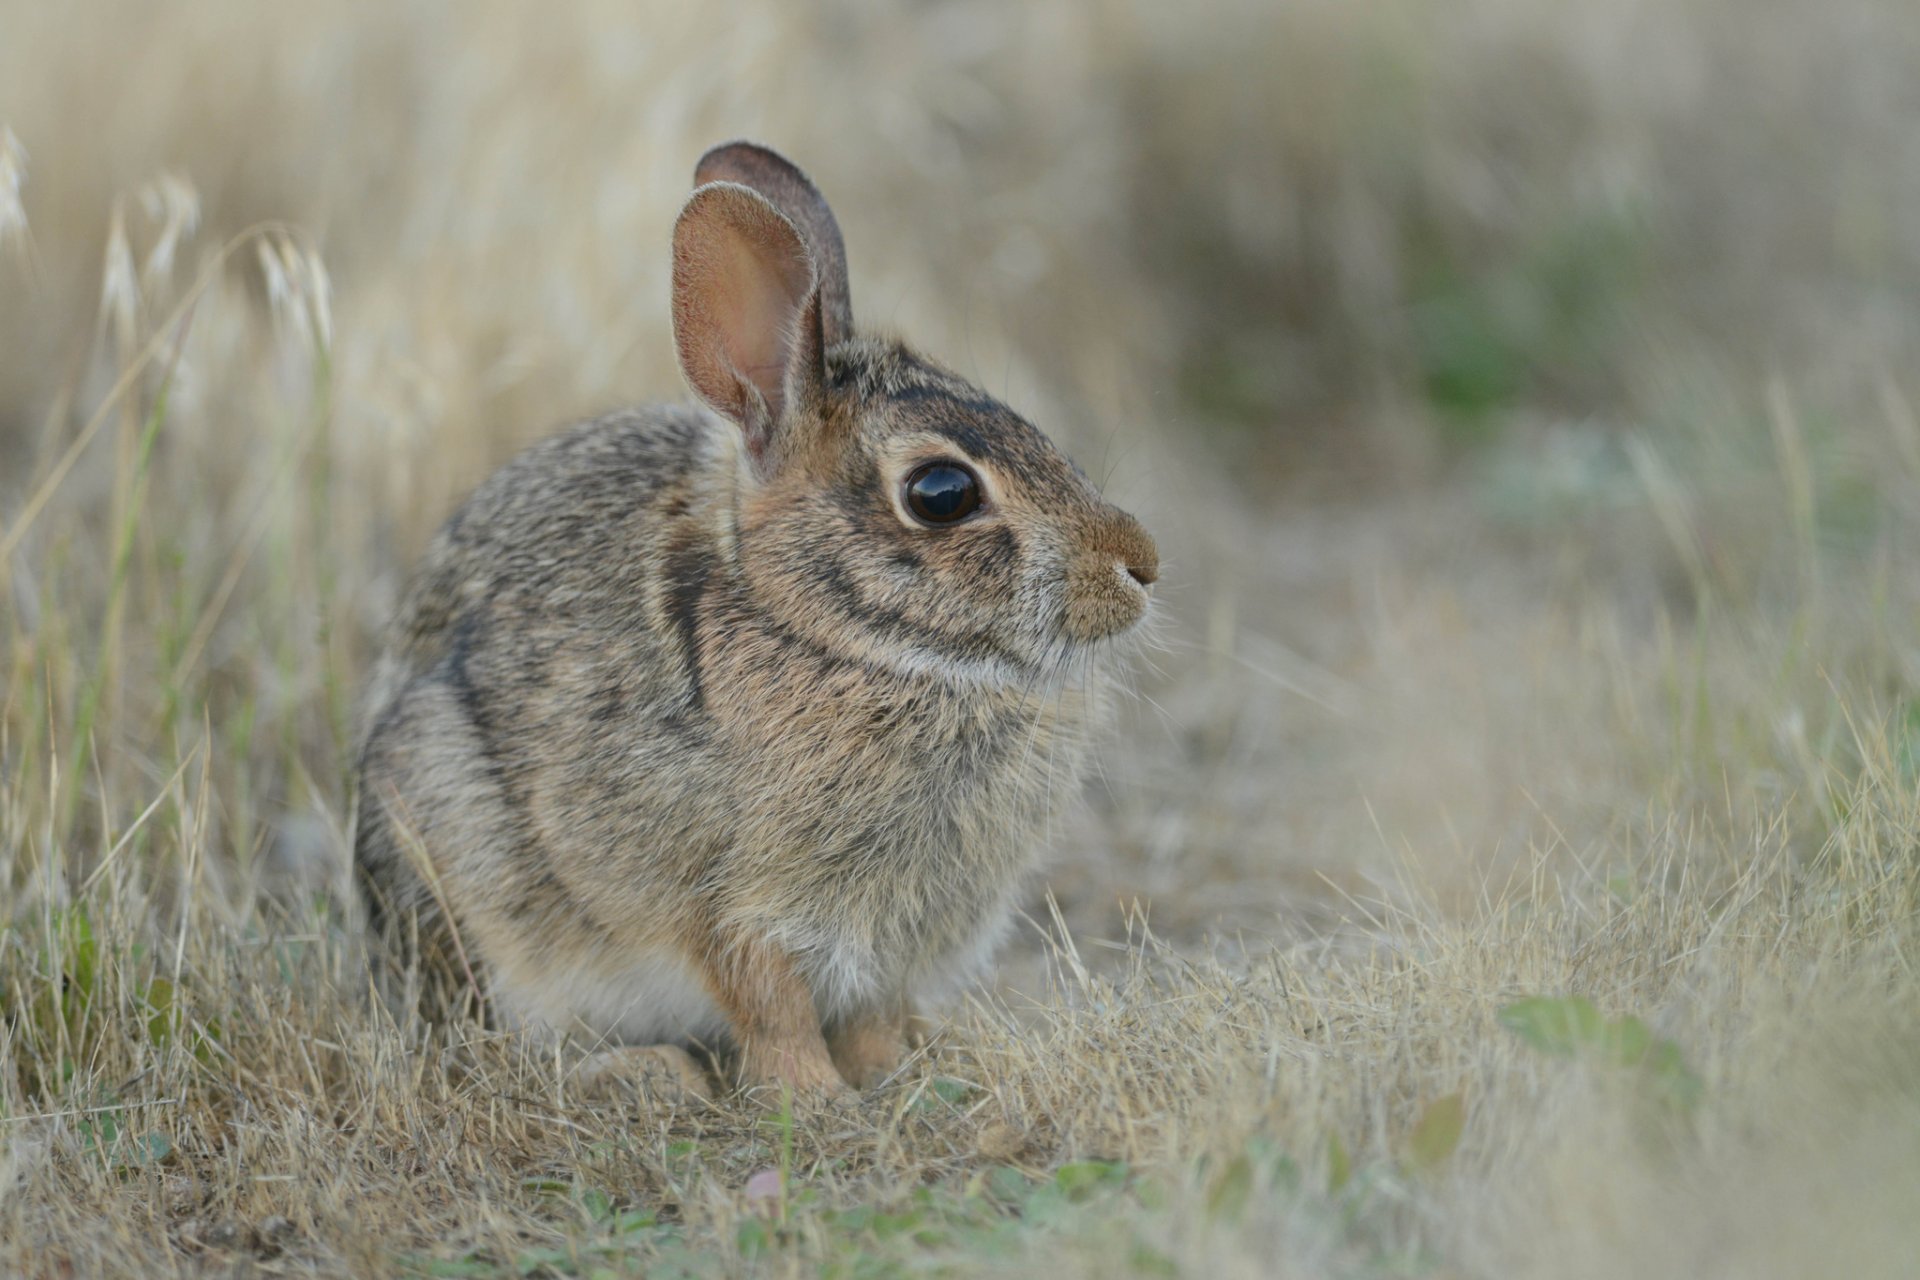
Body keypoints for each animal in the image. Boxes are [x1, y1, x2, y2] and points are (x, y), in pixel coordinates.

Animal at [353, 141, 1158, 1099]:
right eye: (941, 493)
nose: (1141, 564)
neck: (833, 635)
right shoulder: (727, 904)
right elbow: (768, 1004)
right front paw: (816, 1100)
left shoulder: (889, 943)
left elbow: (871, 1015)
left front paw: (890, 1077)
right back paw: (646, 1073)